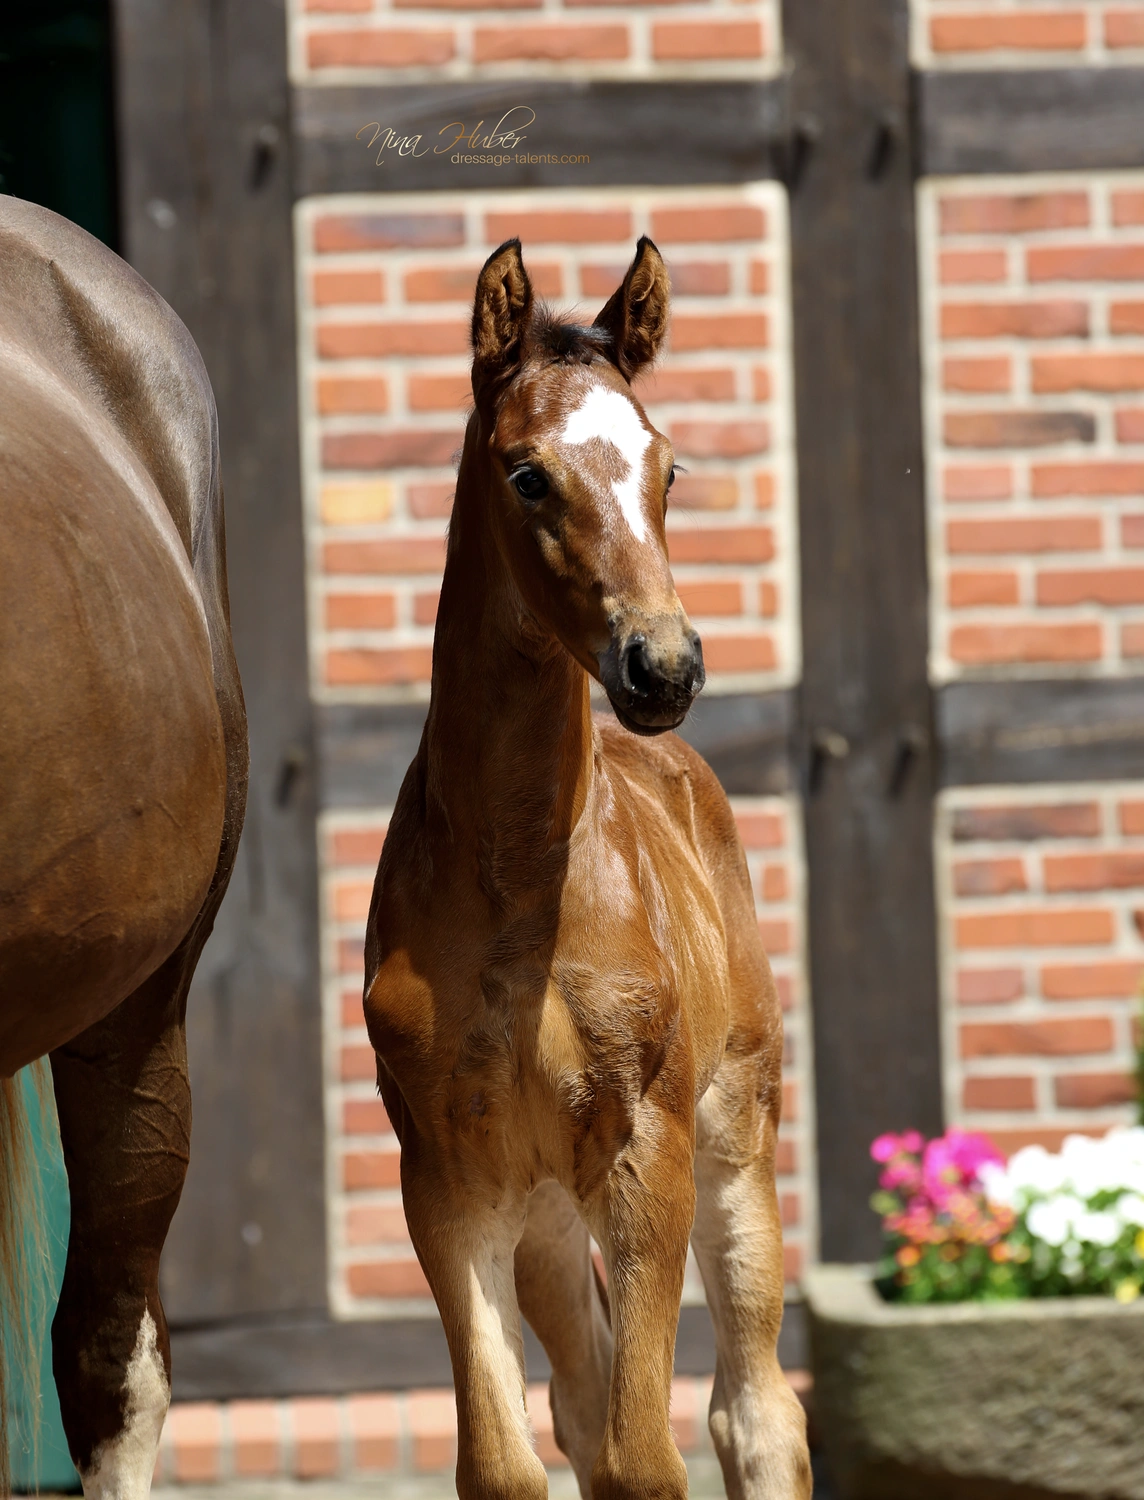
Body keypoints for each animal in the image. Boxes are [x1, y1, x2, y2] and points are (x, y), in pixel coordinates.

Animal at [363, 237, 811, 1500]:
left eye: (667, 468)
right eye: (526, 475)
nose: (663, 665)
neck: (519, 881)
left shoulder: (645, 1154)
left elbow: (649, 1456)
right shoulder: (449, 1178)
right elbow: (510, 1461)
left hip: (733, 1135)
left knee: (756, 1412)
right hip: (547, 1217)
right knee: (580, 1403)